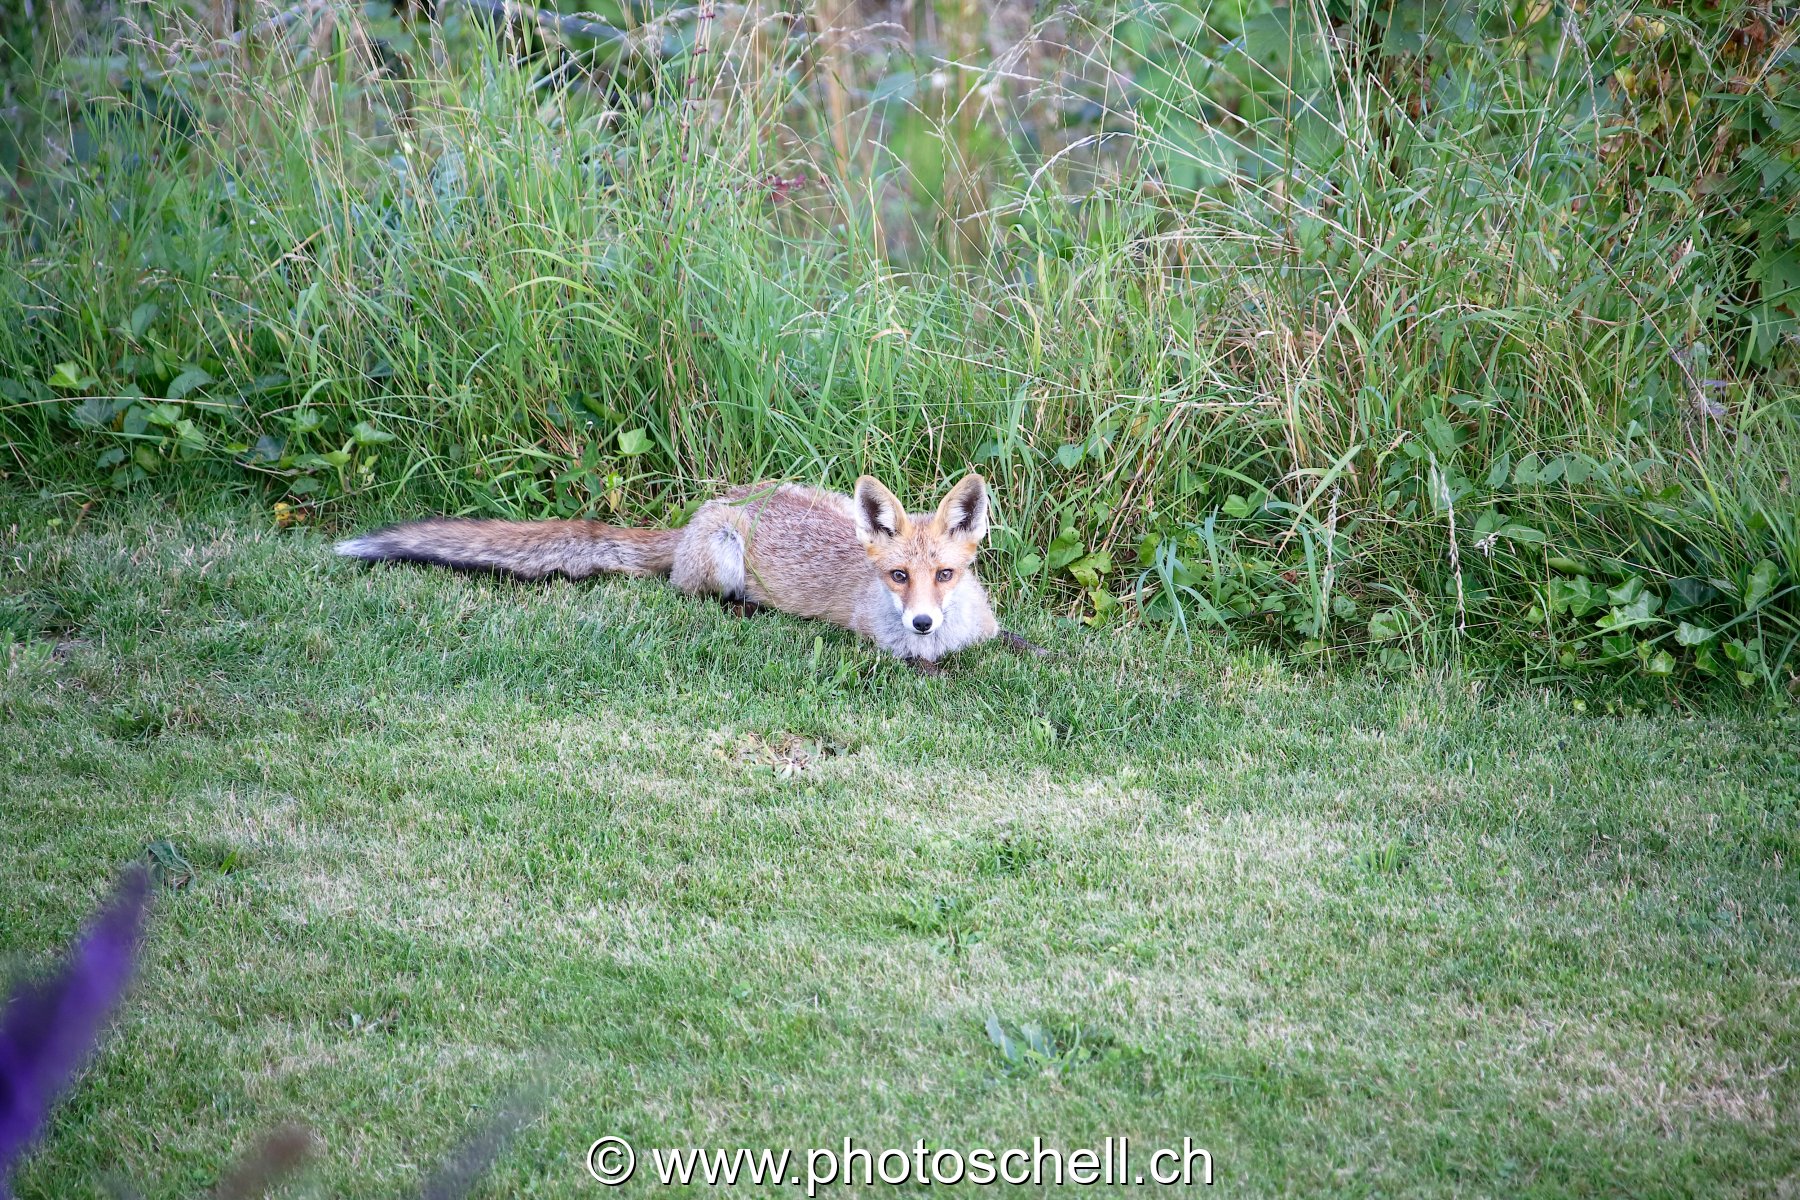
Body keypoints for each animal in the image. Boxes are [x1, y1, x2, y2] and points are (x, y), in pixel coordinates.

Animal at [334, 474, 1046, 672]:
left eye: (945, 575)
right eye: (899, 576)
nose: (922, 621)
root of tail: (699, 513)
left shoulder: (986, 630)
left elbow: (1022, 645)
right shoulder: (895, 653)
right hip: (724, 563)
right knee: (701, 597)